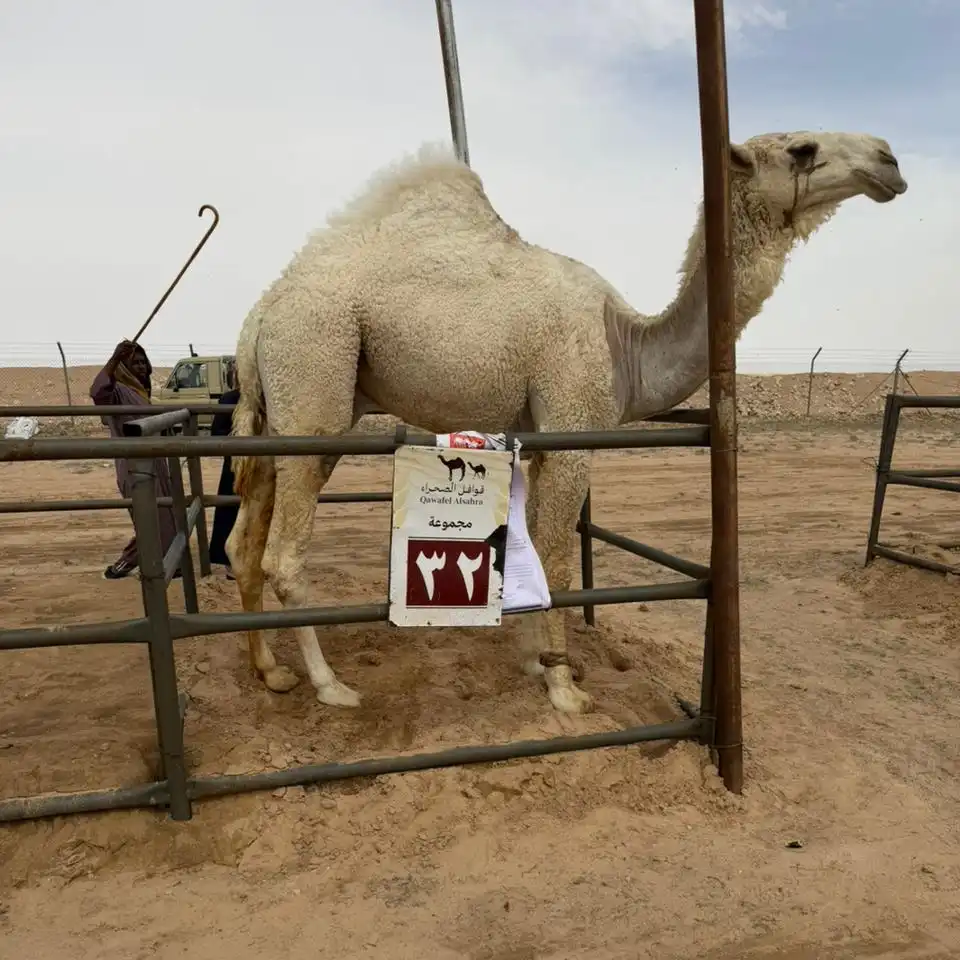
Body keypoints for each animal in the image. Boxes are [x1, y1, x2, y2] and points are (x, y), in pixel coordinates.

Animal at [225, 130, 907, 714]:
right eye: (802, 148)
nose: (891, 160)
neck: (624, 344)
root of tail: (259, 316)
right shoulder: (573, 425)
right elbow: (555, 558)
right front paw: (563, 687)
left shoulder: (541, 439)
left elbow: (527, 546)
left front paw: (533, 659)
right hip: (316, 376)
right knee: (282, 556)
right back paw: (330, 685)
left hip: (280, 413)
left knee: (242, 542)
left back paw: (269, 670)